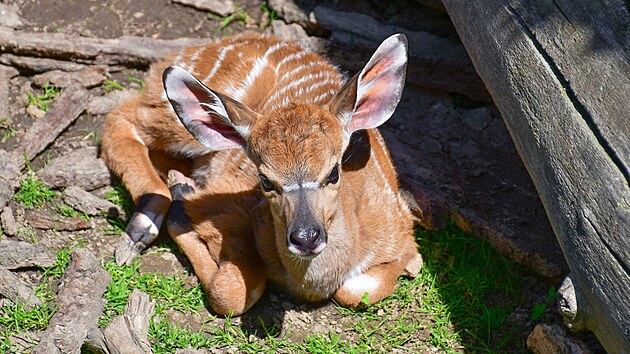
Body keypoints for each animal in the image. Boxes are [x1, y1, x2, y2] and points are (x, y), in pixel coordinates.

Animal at [101, 32, 422, 316]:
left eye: (333, 173)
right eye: (266, 180)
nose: (306, 237)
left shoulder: (404, 237)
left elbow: (359, 289)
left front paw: (182, 189)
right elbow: (234, 293)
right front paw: (183, 193)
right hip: (178, 126)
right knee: (121, 116)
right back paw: (142, 226)